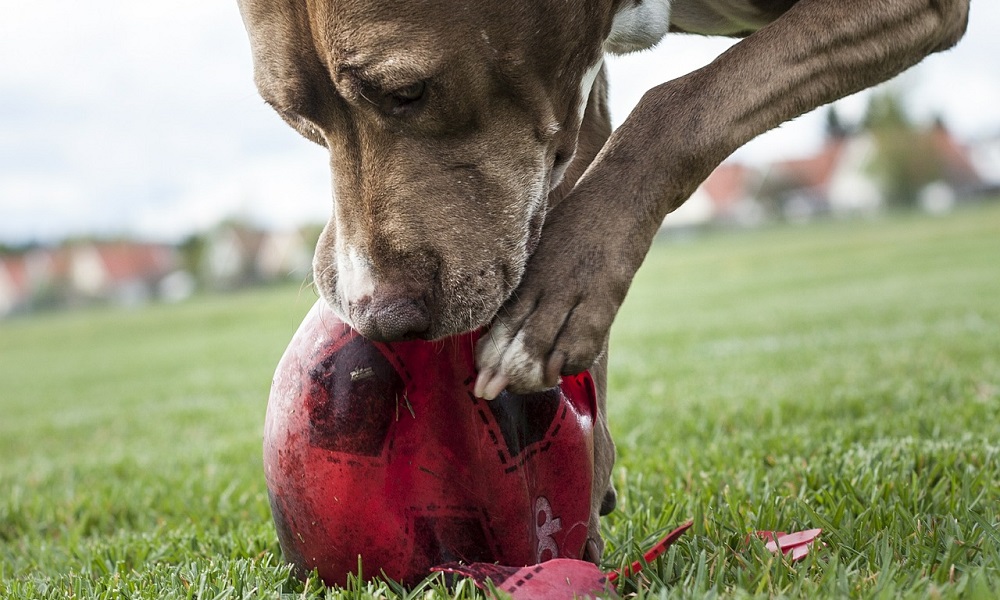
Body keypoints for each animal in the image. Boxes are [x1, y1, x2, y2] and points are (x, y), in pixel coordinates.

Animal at [236, 0, 968, 564]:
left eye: (406, 92)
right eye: (294, 118)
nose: (380, 320)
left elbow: (676, 101)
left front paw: (551, 305)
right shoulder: (565, 113)